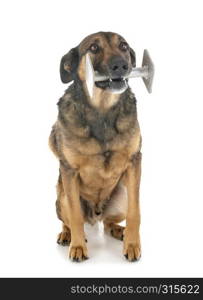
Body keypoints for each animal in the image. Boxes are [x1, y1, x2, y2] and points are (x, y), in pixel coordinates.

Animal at [49, 31, 141, 262]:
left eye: (123, 46)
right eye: (93, 48)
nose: (121, 65)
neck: (102, 109)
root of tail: (95, 215)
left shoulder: (134, 162)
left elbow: (135, 212)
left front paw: (132, 244)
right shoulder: (69, 171)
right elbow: (74, 216)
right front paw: (78, 246)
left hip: (122, 194)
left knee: (108, 223)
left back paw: (119, 231)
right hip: (62, 195)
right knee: (69, 220)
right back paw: (68, 235)